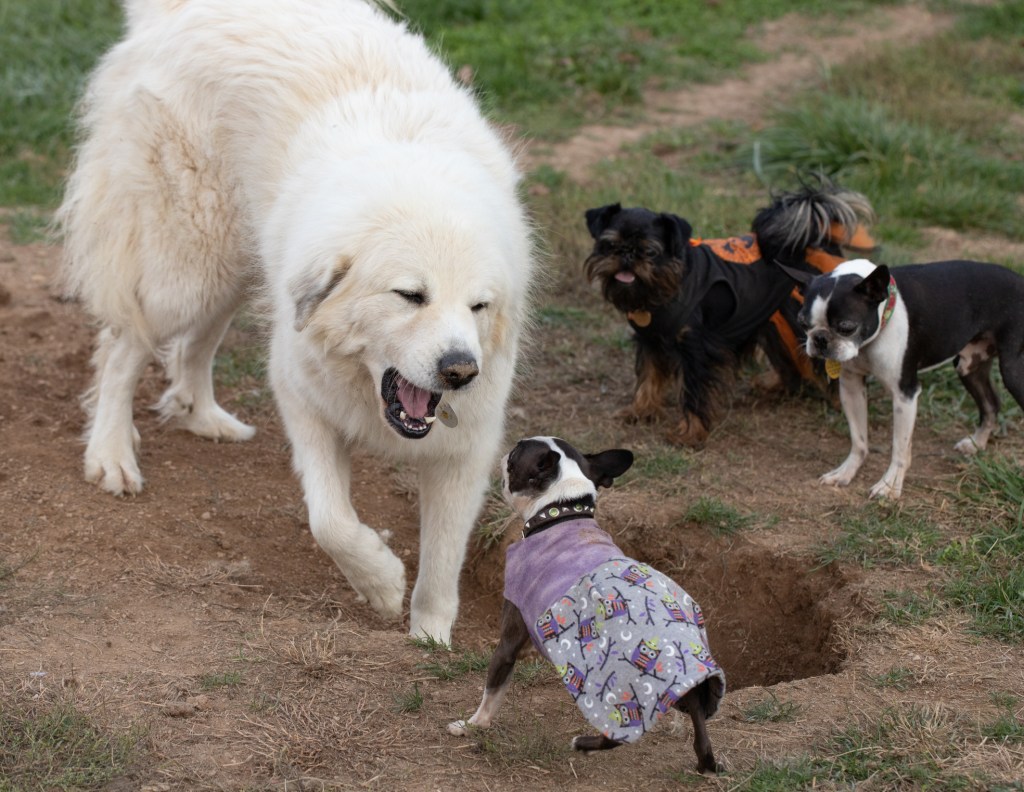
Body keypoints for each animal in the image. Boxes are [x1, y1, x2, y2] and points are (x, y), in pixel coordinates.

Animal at [58, 1, 536, 643]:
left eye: (478, 307)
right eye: (411, 296)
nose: (461, 371)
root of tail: (184, 10)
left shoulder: (465, 449)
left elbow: (442, 559)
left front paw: (431, 637)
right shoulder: (304, 399)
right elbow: (329, 521)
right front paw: (380, 584)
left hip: (237, 267)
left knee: (193, 347)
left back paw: (202, 416)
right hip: (189, 266)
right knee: (124, 346)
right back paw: (111, 454)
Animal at [450, 432, 729, 770]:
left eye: (516, 453)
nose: (505, 452)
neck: (559, 511)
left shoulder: (508, 640)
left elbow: (492, 690)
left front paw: (471, 725)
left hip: (618, 685)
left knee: (618, 732)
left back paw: (583, 743)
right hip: (693, 695)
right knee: (702, 737)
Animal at [585, 181, 872, 448]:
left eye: (649, 251)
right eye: (610, 245)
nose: (627, 254)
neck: (669, 285)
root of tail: (817, 242)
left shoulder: (696, 349)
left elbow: (693, 393)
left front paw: (689, 434)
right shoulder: (650, 340)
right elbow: (648, 375)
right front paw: (641, 409)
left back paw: (839, 403)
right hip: (773, 320)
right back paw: (775, 386)